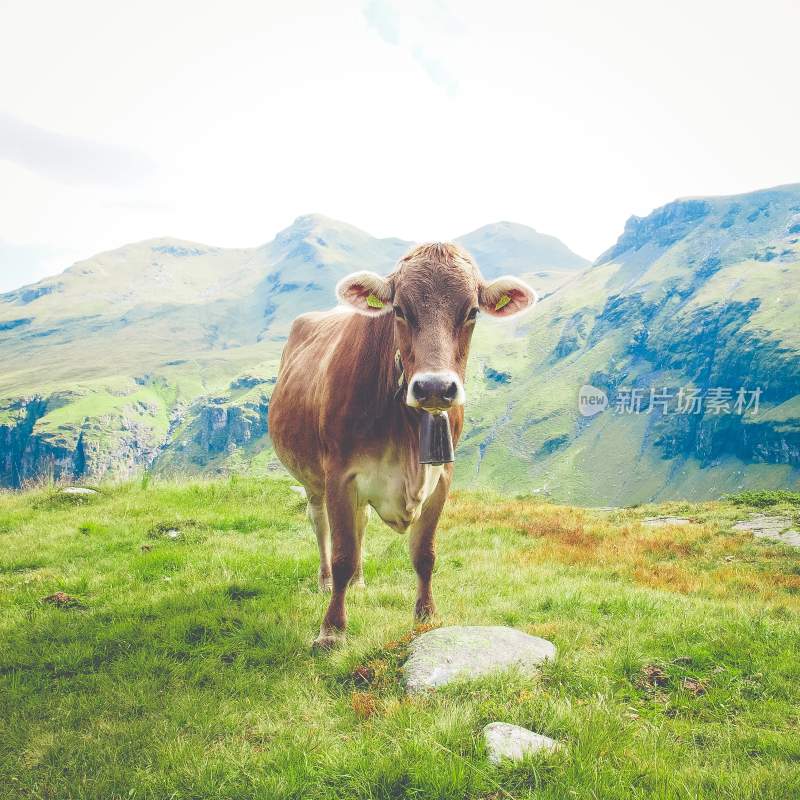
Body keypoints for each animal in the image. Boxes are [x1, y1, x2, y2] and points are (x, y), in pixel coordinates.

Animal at [268, 244, 536, 648]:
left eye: (472, 311)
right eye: (399, 310)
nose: (435, 388)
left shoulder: (442, 476)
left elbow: (424, 553)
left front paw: (426, 615)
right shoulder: (339, 475)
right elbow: (343, 554)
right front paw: (332, 630)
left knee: (360, 523)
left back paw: (360, 581)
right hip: (313, 479)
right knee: (320, 525)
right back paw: (326, 581)